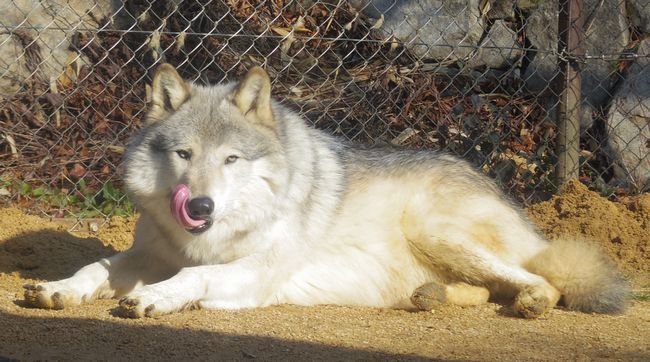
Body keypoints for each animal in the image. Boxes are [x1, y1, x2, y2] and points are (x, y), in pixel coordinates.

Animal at [22, 63, 624, 318]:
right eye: (184, 155)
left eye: (232, 159)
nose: (199, 205)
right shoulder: (149, 253)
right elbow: (96, 267)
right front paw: (57, 288)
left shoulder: (254, 271)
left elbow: (194, 276)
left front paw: (154, 298)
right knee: (488, 289)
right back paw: (429, 297)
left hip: (432, 229)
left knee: (544, 282)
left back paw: (529, 302)